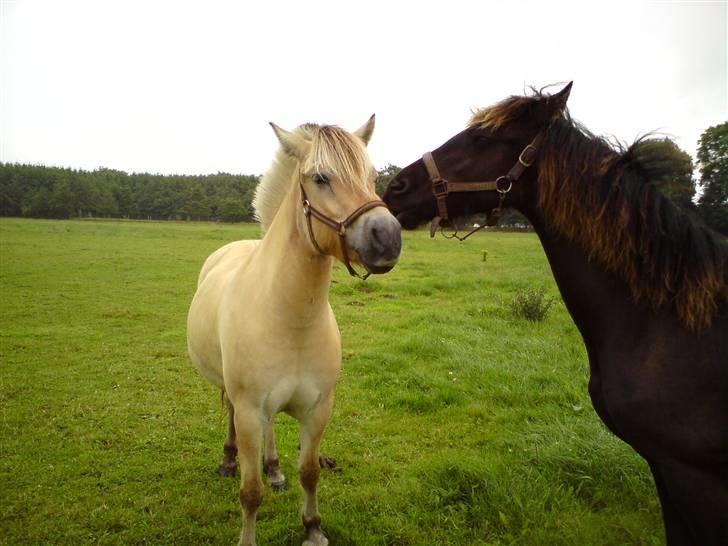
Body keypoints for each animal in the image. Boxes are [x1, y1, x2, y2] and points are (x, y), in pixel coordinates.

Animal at [185, 116, 400, 544]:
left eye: (372, 177)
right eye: (320, 177)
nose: (387, 237)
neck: (292, 321)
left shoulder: (317, 410)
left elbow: (310, 472)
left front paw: (313, 528)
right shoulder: (250, 410)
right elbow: (250, 492)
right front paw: (248, 537)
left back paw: (274, 469)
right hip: (235, 399)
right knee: (231, 418)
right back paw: (228, 461)